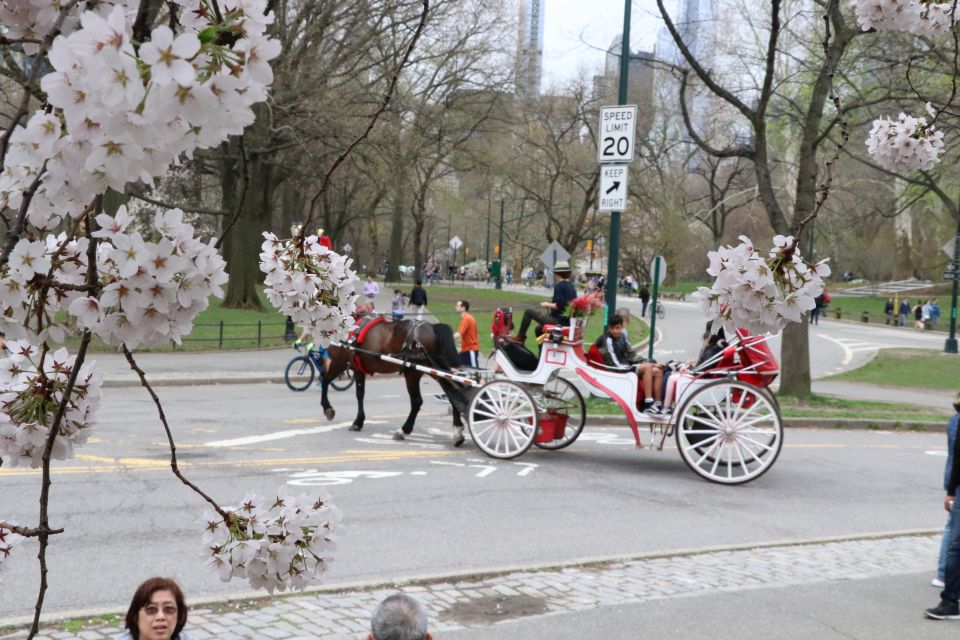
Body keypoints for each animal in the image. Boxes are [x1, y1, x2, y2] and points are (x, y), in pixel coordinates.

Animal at [320, 318, 470, 444]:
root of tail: (432, 327)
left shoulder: (341, 363)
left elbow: (327, 381)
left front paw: (330, 409)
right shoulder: (356, 369)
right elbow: (359, 394)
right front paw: (358, 420)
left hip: (413, 373)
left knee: (417, 401)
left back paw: (403, 430)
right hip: (435, 369)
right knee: (452, 391)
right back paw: (457, 431)